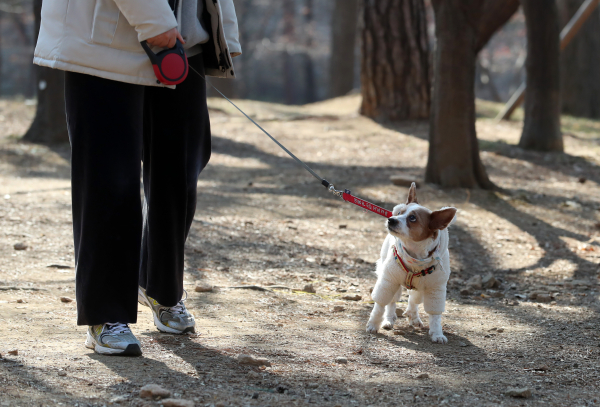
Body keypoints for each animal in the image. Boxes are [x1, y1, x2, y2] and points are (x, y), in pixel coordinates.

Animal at [366, 185, 454, 344]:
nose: (391, 219)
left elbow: (435, 315)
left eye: (412, 218)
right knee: (392, 302)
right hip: (392, 282)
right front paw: (373, 324)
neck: (416, 257)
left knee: (414, 300)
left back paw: (414, 317)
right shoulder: (388, 280)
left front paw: (437, 333)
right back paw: (388, 320)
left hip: (421, 287)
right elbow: (380, 305)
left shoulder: (435, 288)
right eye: (399, 213)